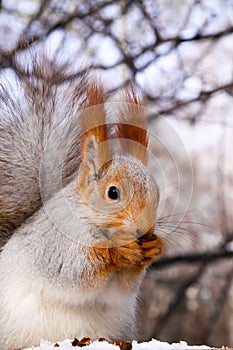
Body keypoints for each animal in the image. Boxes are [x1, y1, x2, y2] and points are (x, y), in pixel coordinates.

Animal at [0, 52, 164, 350]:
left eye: (157, 192)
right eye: (113, 193)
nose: (143, 230)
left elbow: (121, 289)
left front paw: (154, 247)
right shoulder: (55, 244)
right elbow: (73, 272)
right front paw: (119, 251)